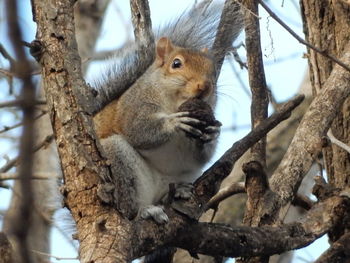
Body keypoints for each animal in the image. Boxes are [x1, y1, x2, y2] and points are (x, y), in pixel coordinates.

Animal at [91, 2, 243, 225]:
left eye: (214, 71)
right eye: (176, 64)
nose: (204, 86)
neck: (175, 103)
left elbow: (202, 156)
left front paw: (212, 134)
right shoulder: (133, 105)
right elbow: (137, 129)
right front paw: (174, 123)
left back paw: (179, 191)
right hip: (117, 161)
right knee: (128, 206)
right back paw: (144, 211)